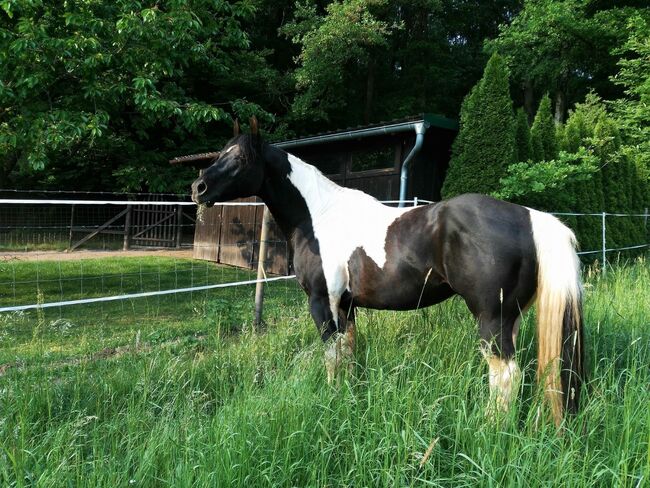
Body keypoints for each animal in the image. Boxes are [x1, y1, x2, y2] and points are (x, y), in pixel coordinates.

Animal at [191, 120, 584, 426]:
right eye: (221, 152)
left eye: (240, 158)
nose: (198, 188)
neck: (319, 215)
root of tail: (529, 217)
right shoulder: (346, 306)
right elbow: (349, 354)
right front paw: (349, 398)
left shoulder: (322, 303)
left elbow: (332, 357)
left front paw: (331, 401)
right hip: (512, 318)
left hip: (492, 319)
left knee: (505, 376)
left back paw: (489, 429)